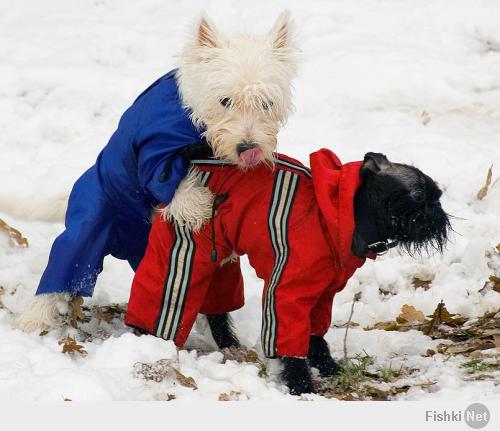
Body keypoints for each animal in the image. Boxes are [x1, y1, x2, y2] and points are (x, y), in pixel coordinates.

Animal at [15, 11, 296, 334]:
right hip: (90, 222)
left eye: (266, 102)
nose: (247, 148)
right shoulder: (152, 152)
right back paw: (33, 319)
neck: (193, 121)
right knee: (66, 264)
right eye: (225, 100)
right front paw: (196, 206)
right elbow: (166, 179)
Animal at [203, 154, 450, 396]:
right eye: (419, 195)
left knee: (216, 307)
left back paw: (229, 346)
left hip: (222, 266)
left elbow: (315, 337)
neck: (340, 216)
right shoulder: (287, 295)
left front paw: (328, 367)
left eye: (437, 197)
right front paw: (301, 385)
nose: (438, 209)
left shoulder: (322, 297)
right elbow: (291, 345)